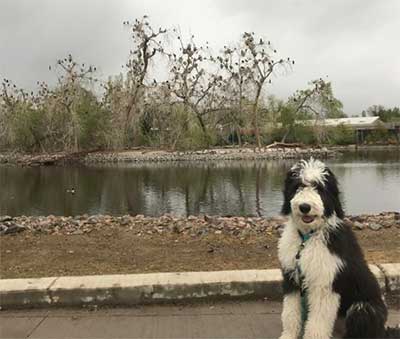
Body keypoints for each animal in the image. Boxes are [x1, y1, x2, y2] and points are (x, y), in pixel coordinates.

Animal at [278, 160, 396, 339]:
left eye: (319, 188)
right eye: (298, 186)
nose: (305, 207)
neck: (307, 238)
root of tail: (383, 330)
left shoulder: (324, 283)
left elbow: (317, 322)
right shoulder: (292, 279)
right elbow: (290, 313)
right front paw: (289, 335)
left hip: (363, 308)